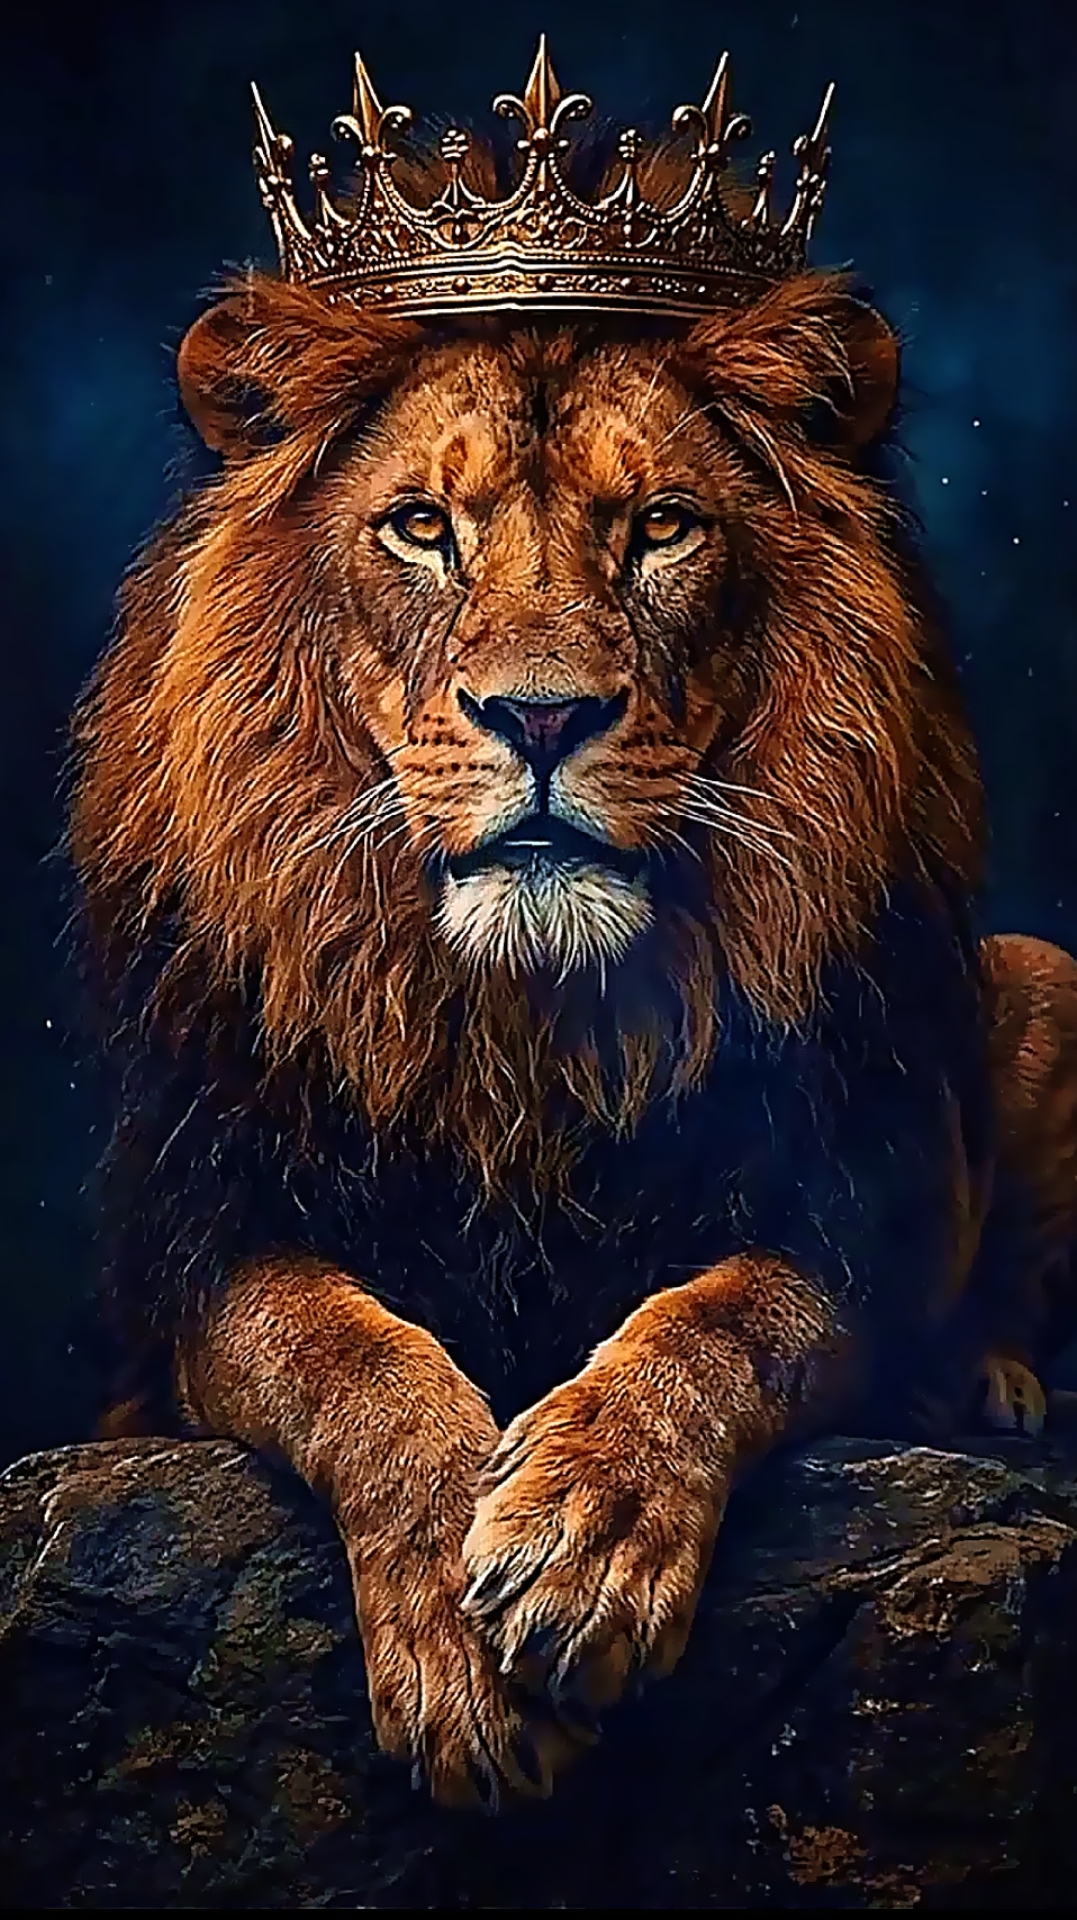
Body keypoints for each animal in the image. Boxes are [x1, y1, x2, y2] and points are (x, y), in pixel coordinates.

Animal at [69, 253, 1077, 1811]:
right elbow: (339, 1356)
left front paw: (584, 1535)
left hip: (1039, 973)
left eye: (660, 526)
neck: (526, 1024)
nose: (541, 718)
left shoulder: (846, 1209)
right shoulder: (207, 1245)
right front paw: (449, 1603)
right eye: (422, 528)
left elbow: (724, 1328)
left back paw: (984, 1386)